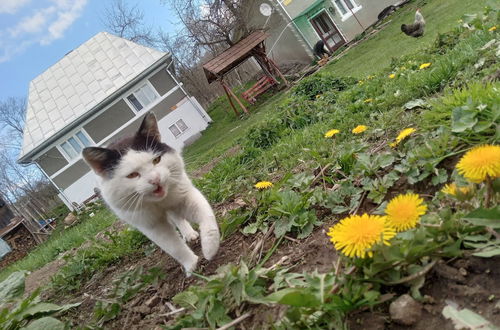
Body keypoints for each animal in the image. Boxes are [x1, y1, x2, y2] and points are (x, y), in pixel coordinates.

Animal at [82, 112, 219, 274]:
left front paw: (210, 248)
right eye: (132, 175)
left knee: (178, 217)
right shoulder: (151, 225)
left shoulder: (185, 196)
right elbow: (174, 247)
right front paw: (192, 265)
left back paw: (190, 234)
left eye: (156, 160)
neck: (159, 203)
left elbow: (206, 216)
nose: (155, 179)